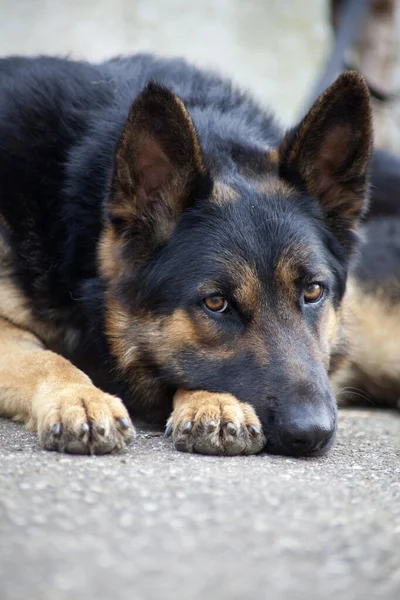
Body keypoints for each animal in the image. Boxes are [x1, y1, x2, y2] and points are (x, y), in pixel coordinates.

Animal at [0, 54, 396, 458]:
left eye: (313, 291)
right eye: (216, 303)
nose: (313, 433)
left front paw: (210, 402)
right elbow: (46, 359)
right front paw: (79, 397)